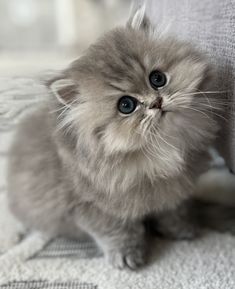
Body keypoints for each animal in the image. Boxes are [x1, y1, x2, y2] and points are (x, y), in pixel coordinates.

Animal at [7, 6, 220, 268]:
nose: (156, 102)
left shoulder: (175, 189)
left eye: (157, 79)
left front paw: (182, 229)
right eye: (126, 105)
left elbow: (174, 211)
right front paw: (127, 256)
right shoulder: (94, 207)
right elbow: (118, 232)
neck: (157, 153)